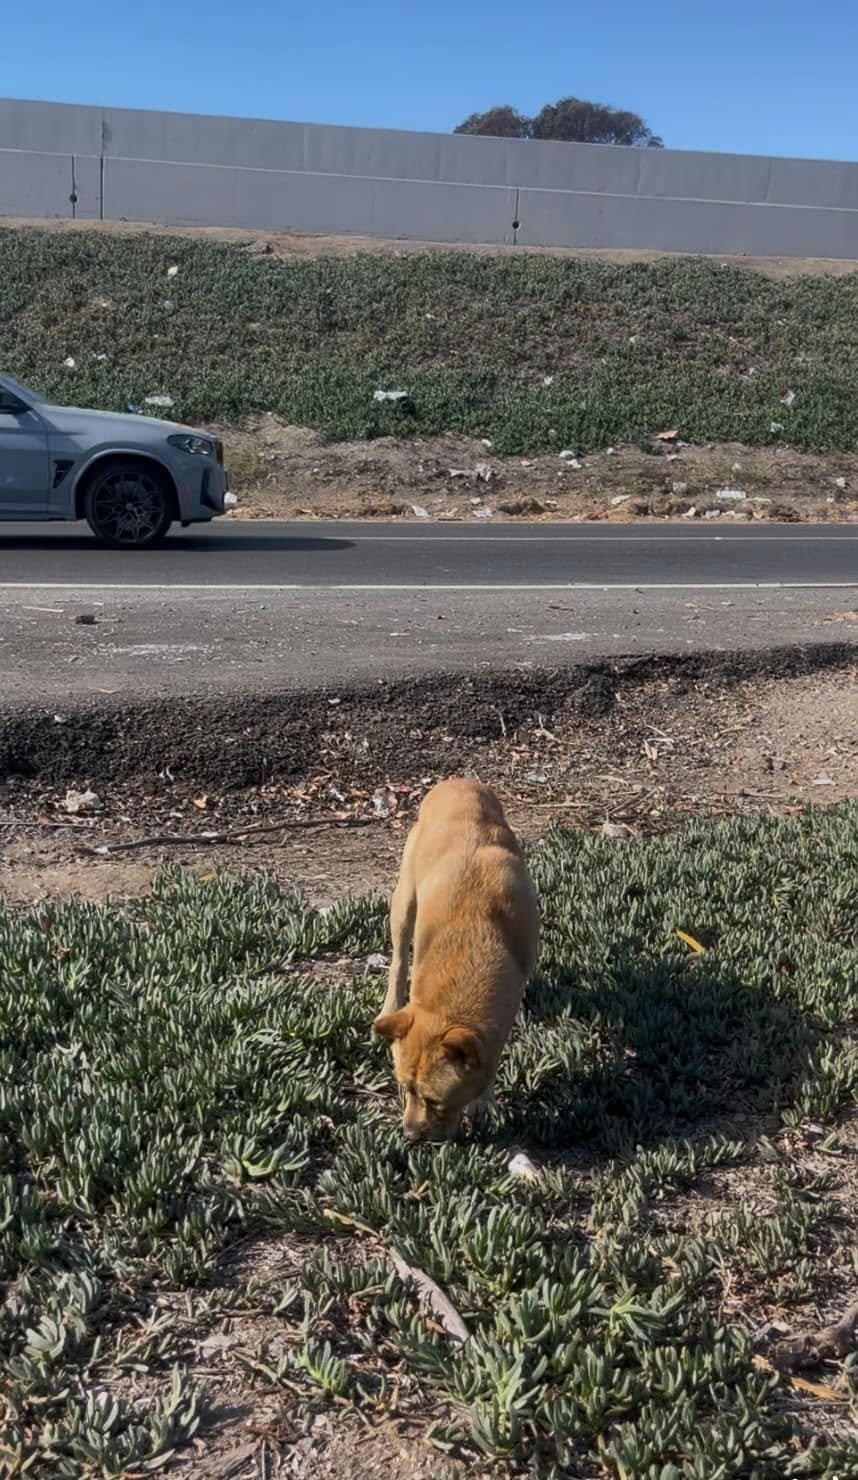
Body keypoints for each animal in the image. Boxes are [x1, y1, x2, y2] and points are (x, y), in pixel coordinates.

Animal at [374, 775, 535, 1142]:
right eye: (405, 1087)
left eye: (434, 1100)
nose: (409, 1135)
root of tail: (456, 781)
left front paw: (484, 1101)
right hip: (404, 901)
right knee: (398, 961)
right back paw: (390, 1007)